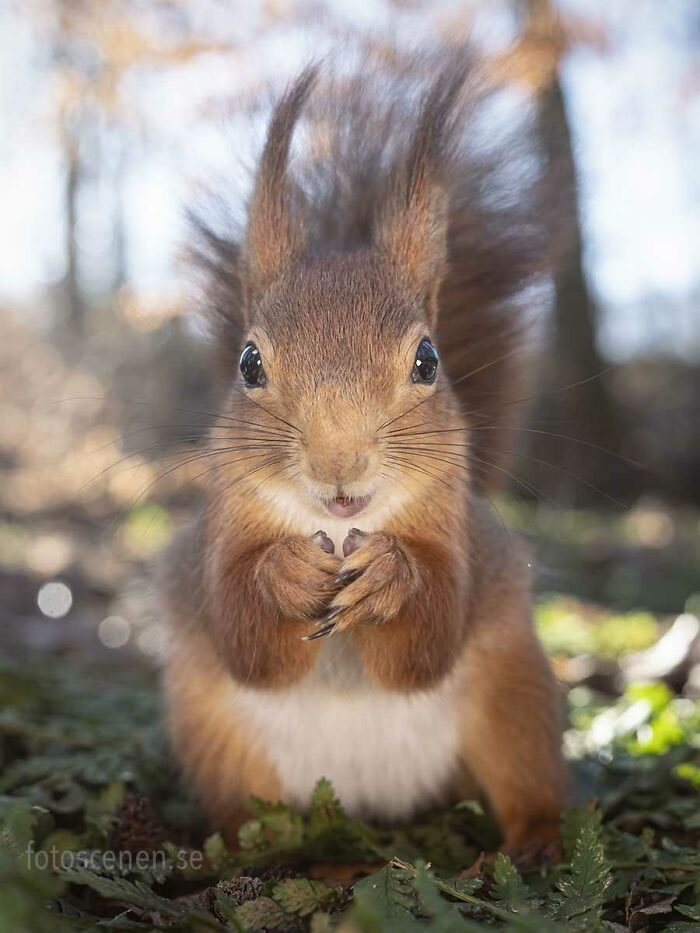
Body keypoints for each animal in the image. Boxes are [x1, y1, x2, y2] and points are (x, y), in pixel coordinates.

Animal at [160, 49, 568, 868]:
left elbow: (429, 640)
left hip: (517, 701)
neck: (345, 528)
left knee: (527, 777)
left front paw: (390, 575)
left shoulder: (459, 537)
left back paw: (536, 841)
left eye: (428, 360)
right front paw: (285, 573)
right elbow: (243, 635)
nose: (338, 466)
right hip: (216, 737)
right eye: (249, 363)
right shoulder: (218, 539)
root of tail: (371, 804)